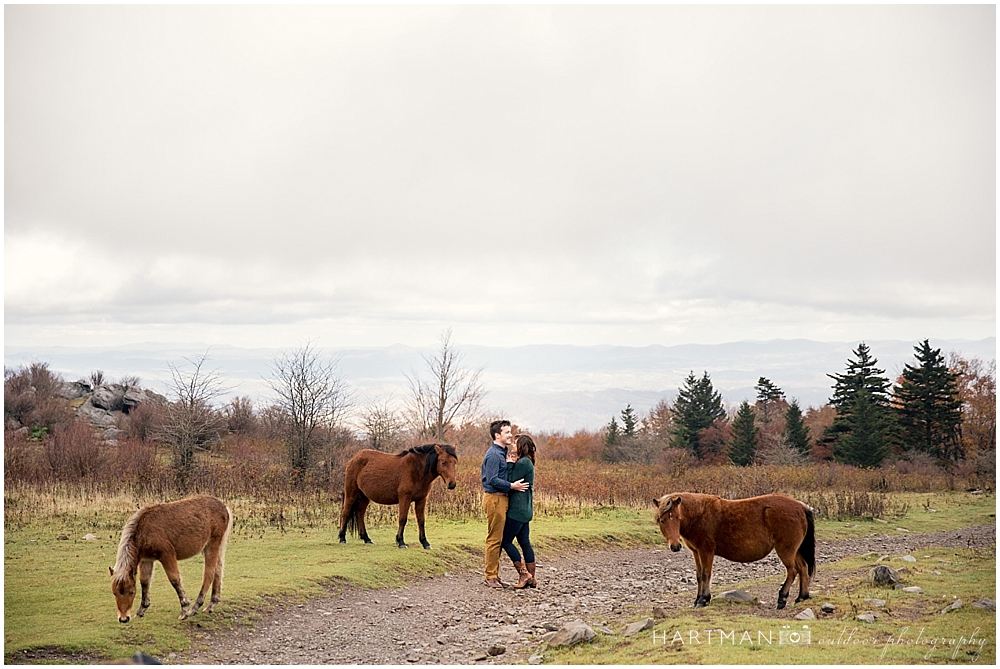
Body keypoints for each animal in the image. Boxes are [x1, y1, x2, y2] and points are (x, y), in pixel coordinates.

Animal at [109, 494, 232, 624]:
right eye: (114, 592)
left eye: (132, 592)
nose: (123, 619)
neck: (143, 529)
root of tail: (224, 507)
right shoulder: (146, 560)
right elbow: (145, 581)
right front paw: (141, 610)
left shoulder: (167, 555)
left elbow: (174, 580)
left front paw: (184, 609)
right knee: (218, 570)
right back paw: (211, 605)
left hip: (211, 545)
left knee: (209, 573)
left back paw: (194, 608)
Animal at [656, 490, 812, 612]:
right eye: (662, 520)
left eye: (677, 518)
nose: (675, 546)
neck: (699, 515)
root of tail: (801, 506)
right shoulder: (696, 552)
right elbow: (699, 576)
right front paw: (697, 600)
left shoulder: (706, 551)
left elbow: (706, 575)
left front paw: (703, 600)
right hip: (796, 550)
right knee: (803, 568)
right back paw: (801, 597)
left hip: (786, 550)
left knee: (792, 570)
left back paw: (782, 599)